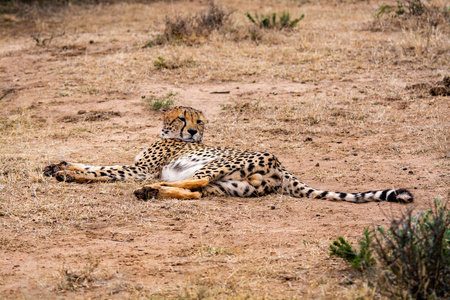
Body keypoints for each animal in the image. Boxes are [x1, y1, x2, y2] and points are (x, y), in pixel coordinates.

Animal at [44, 106, 414, 204]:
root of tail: (282, 166)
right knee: (197, 192)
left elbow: (102, 169)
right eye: (183, 118)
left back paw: (150, 190)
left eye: (200, 122)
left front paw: (67, 171)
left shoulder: (140, 169)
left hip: (217, 165)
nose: (194, 133)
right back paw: (153, 192)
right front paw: (57, 166)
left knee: (196, 182)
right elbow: (94, 163)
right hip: (235, 186)